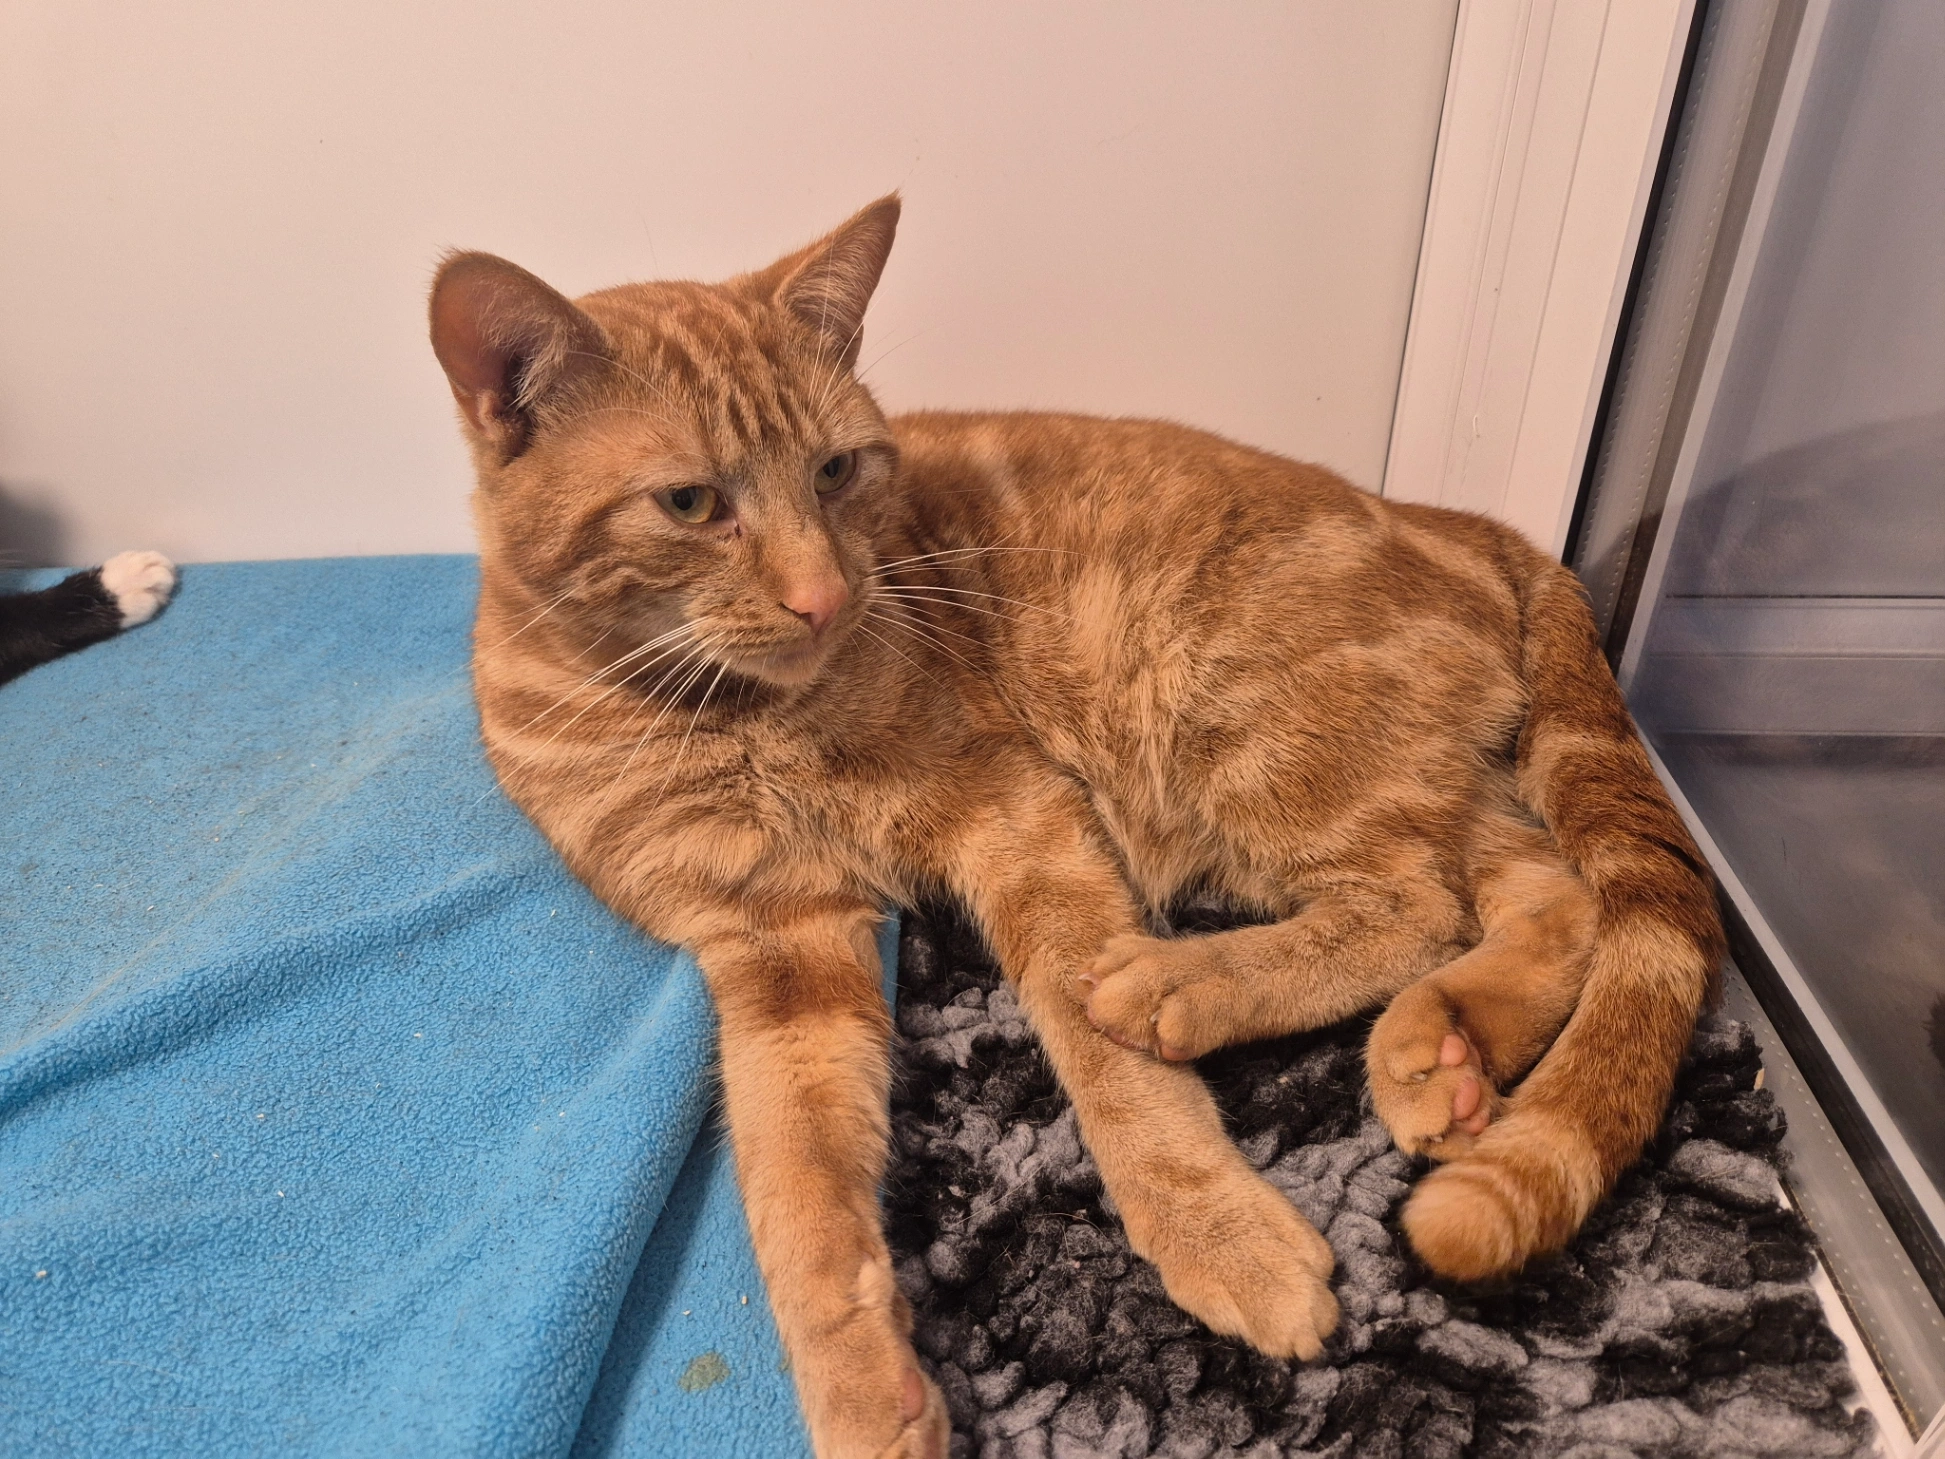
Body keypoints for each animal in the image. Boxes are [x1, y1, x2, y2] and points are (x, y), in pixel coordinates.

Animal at [429, 198, 1722, 1459]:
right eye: (692, 501)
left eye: (838, 470)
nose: (825, 597)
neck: (721, 717)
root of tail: (1456, 517)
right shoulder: (776, 946)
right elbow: (795, 1184)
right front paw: (862, 1382)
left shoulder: (1015, 813)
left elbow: (1106, 1064)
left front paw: (1215, 1232)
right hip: (1420, 781)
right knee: (1550, 899)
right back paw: (1440, 1054)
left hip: (1238, 720)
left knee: (1417, 903)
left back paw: (1186, 985)